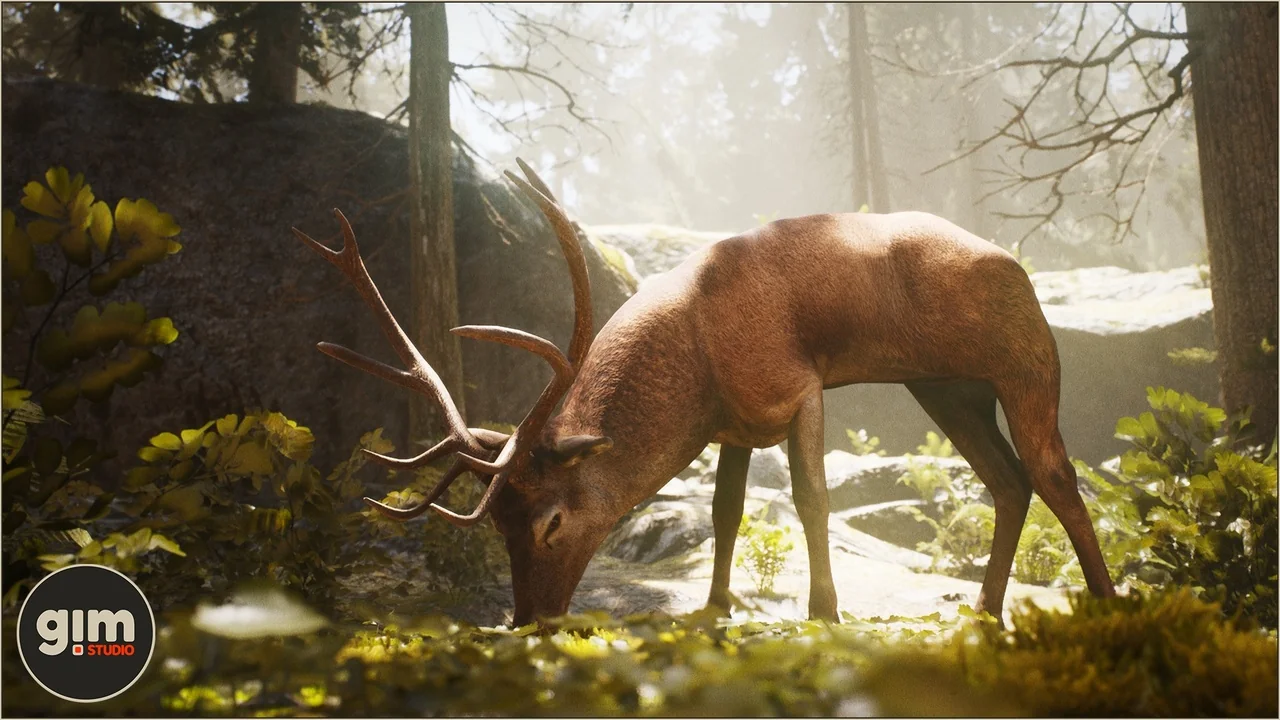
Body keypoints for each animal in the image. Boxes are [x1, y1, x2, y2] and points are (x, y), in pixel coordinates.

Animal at [292, 159, 1117, 627]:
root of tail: (1019, 268)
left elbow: (812, 498)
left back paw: (1105, 601)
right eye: (497, 523)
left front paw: (825, 610)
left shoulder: (798, 385)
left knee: (1056, 474)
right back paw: (985, 609)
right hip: (946, 389)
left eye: (554, 521)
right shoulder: (734, 423)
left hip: (1026, 361)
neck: (700, 361)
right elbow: (725, 511)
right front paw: (718, 604)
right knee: (1008, 482)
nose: (526, 621)